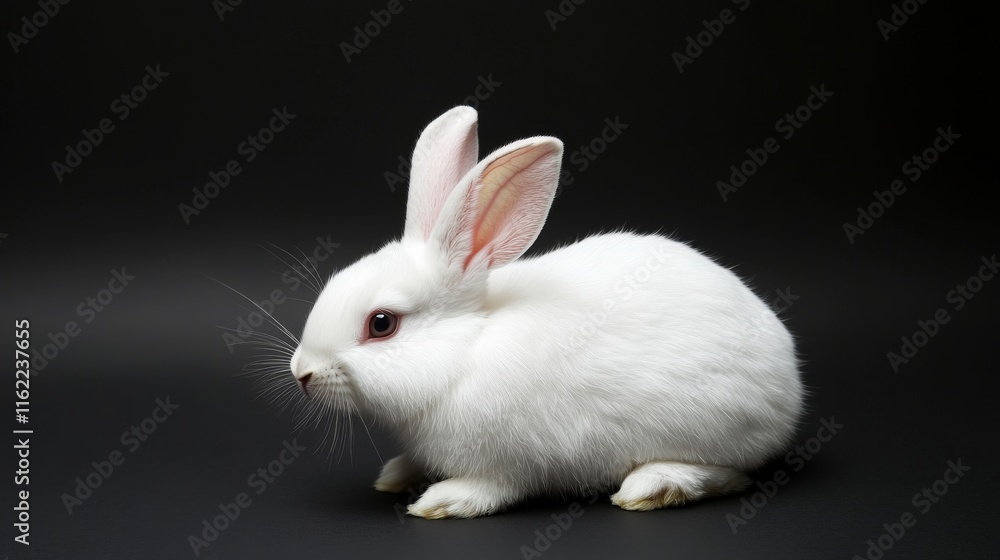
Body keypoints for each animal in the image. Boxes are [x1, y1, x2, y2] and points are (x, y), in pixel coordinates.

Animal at [290, 106, 802, 519]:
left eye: (382, 324)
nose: (302, 373)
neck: (464, 348)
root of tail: (789, 377)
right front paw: (396, 475)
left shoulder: (513, 462)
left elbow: (492, 489)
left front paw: (441, 501)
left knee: (730, 473)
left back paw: (651, 486)